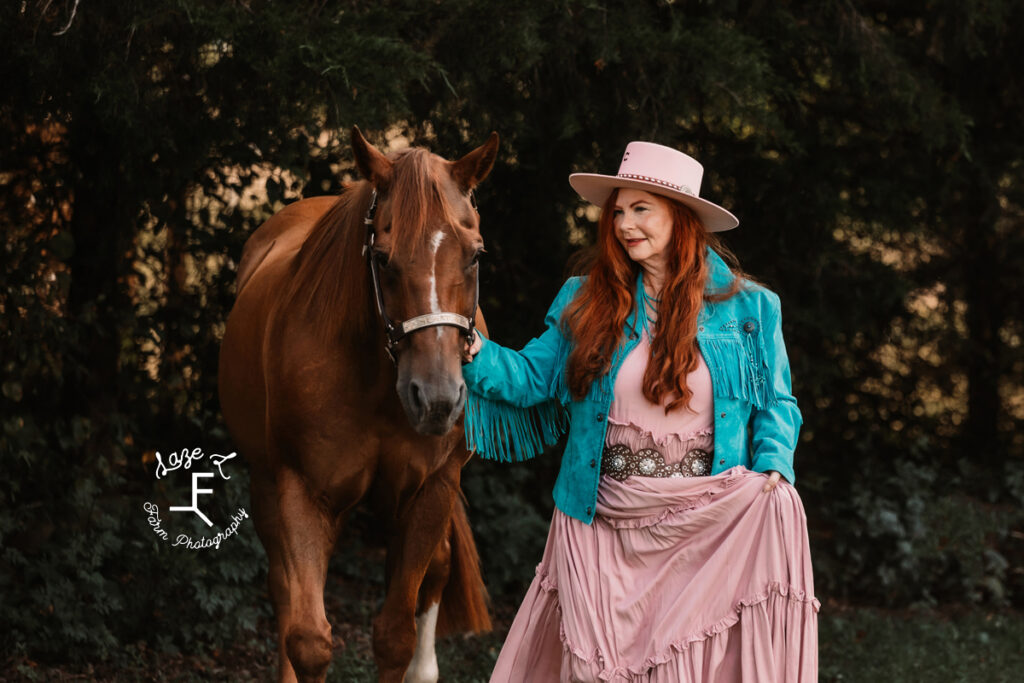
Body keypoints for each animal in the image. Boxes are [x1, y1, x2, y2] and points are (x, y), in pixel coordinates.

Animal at [219, 129, 495, 683]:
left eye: (475, 255)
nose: (436, 398)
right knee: (284, 589)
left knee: (437, 569)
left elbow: (394, 636)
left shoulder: (430, 489)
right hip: (268, 486)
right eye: (382, 258)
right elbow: (308, 639)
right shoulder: (301, 490)